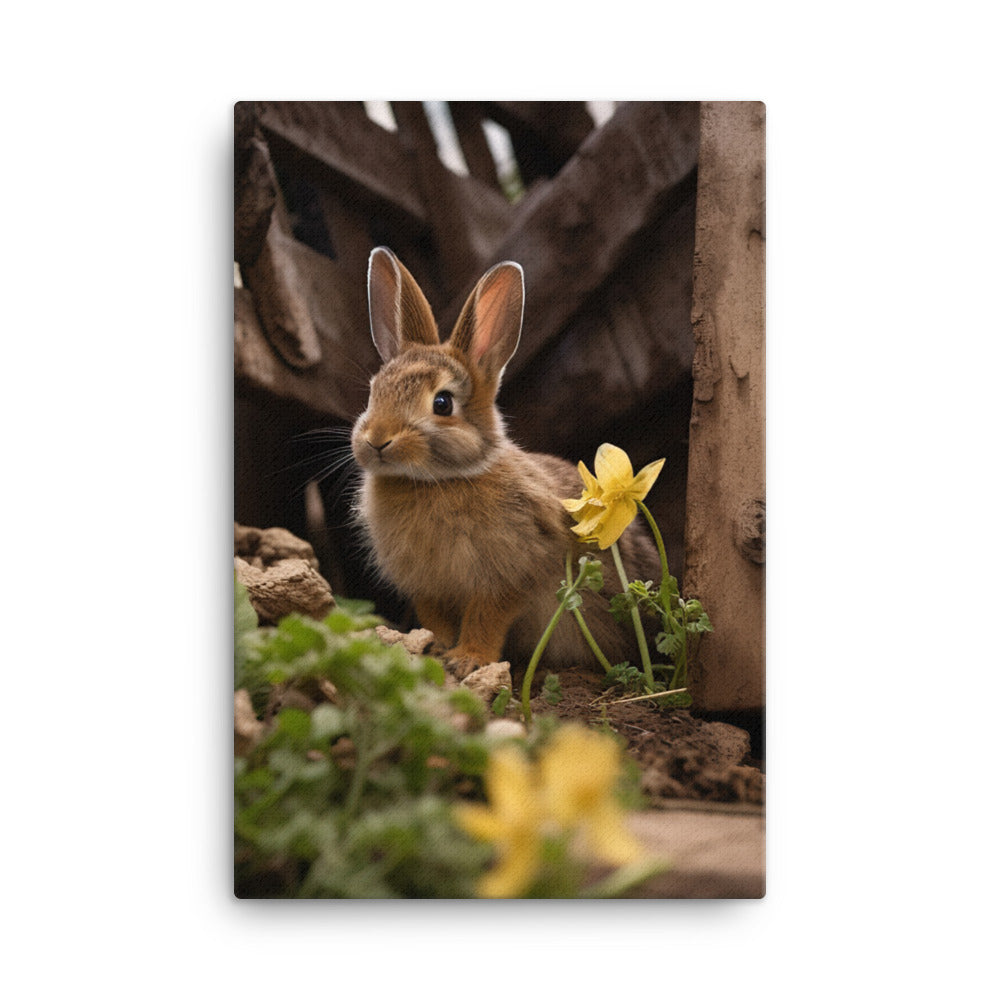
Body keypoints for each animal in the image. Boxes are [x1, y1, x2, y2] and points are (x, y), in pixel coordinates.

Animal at [351, 246, 661, 680]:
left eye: (442, 403)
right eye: (373, 392)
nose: (377, 440)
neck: (437, 480)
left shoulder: (510, 574)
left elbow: (487, 616)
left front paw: (468, 660)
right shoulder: (428, 587)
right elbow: (436, 619)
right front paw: (434, 649)